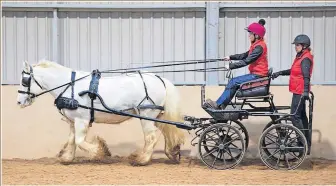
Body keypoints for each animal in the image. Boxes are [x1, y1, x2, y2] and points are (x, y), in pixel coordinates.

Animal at [17, 60, 185, 166]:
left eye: (24, 81)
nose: (19, 102)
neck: (70, 86)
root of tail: (159, 78)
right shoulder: (73, 121)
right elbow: (72, 140)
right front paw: (67, 158)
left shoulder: (82, 120)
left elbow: (80, 141)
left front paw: (100, 152)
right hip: (157, 116)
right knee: (167, 132)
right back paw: (172, 152)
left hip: (147, 115)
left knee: (151, 138)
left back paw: (141, 160)